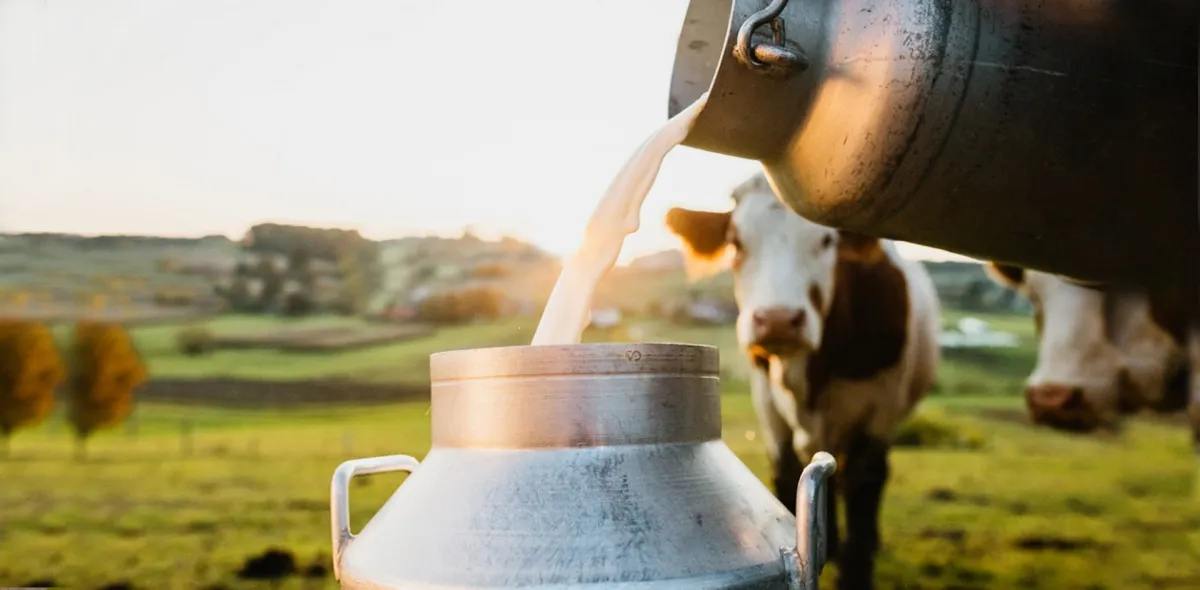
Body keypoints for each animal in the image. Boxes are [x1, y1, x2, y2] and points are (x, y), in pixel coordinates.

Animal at [667, 171, 936, 590]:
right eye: (735, 242)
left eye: (826, 241)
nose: (777, 320)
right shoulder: (768, 408)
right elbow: (787, 475)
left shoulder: (879, 411)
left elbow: (863, 488)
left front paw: (856, 567)